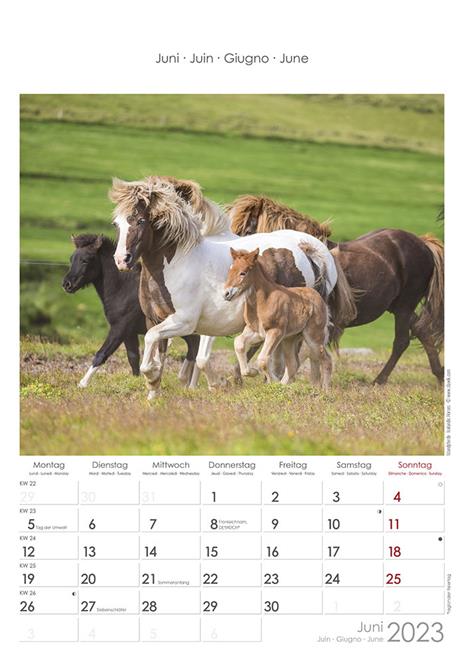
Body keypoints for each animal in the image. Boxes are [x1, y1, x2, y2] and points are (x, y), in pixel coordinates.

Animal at [62, 233, 200, 388]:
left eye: (85, 260)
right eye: (71, 259)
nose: (67, 284)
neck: (123, 288)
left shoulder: (119, 328)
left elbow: (101, 354)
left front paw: (82, 384)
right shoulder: (129, 333)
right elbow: (133, 357)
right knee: (194, 347)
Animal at [224, 247, 332, 388]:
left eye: (243, 273)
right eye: (230, 270)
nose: (226, 293)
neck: (263, 301)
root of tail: (319, 297)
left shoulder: (275, 331)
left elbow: (263, 359)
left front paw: (272, 381)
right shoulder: (255, 331)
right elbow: (238, 343)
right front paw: (252, 372)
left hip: (313, 337)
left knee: (326, 359)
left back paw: (325, 390)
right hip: (289, 339)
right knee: (293, 364)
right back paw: (284, 386)